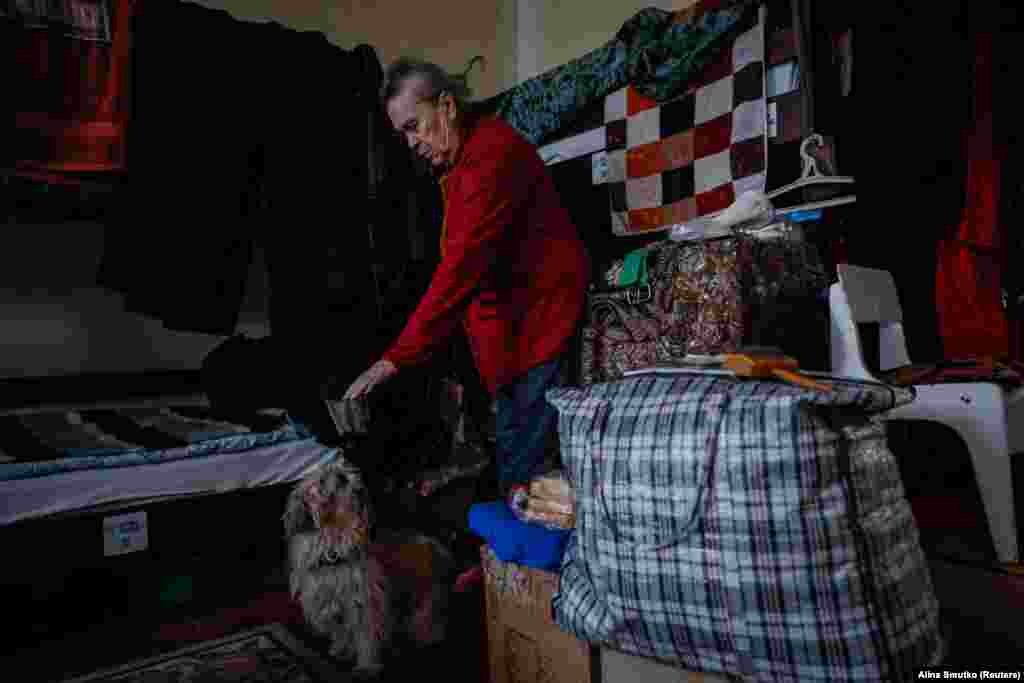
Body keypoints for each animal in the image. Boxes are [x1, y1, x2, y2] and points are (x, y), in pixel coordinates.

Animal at [282, 458, 454, 679]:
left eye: (345, 477)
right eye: (325, 480)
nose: (359, 489)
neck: (332, 543)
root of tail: (433, 544)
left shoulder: (365, 606)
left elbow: (367, 639)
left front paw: (367, 667)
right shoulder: (331, 607)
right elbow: (341, 633)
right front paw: (341, 650)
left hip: (426, 592)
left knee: (429, 616)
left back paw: (427, 636)